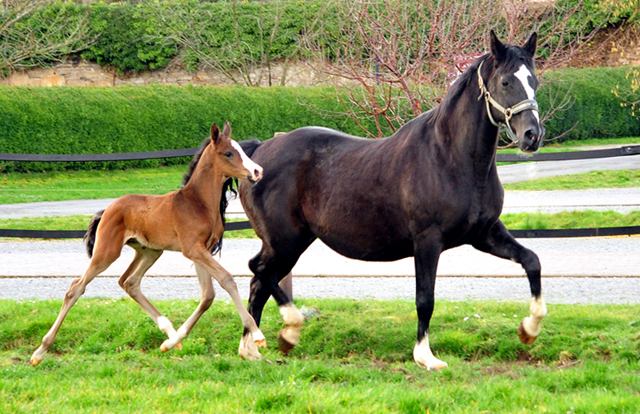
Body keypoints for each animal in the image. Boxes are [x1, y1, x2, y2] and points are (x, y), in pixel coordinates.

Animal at [29, 122, 264, 366]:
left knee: (129, 282)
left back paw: (169, 333)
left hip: (149, 251)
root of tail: (108, 209)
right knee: (76, 287)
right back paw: (40, 351)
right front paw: (257, 334)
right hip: (107, 252)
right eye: (228, 153)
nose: (257, 171)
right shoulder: (193, 249)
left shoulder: (201, 249)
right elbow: (227, 279)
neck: (197, 202)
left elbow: (208, 296)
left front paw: (172, 342)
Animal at [238, 31, 548, 368]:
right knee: (259, 271)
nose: (532, 136)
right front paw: (426, 357)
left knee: (258, 284)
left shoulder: (485, 233)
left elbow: (532, 261)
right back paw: (289, 332)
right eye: (505, 81)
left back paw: (252, 349)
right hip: (285, 241)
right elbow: (425, 299)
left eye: (534, 80)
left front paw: (529, 330)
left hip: (293, 242)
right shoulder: (428, 240)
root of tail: (257, 152)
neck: (450, 158)